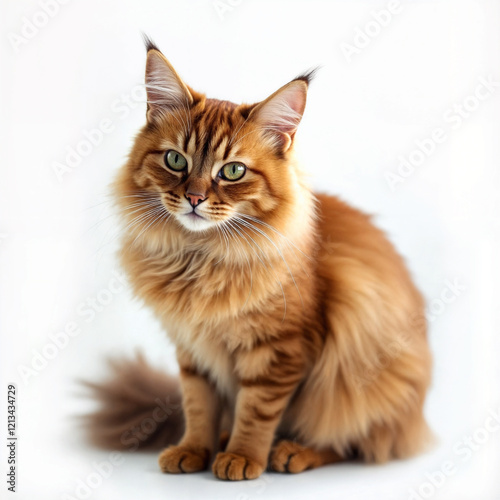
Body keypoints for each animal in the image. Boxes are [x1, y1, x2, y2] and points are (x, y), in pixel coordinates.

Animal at [85, 36, 430, 480]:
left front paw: (243, 456)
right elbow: (199, 406)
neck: (199, 258)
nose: (194, 198)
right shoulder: (193, 351)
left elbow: (257, 411)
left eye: (232, 171)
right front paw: (195, 449)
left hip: (364, 376)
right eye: (175, 160)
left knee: (352, 441)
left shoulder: (281, 351)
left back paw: (292, 452)